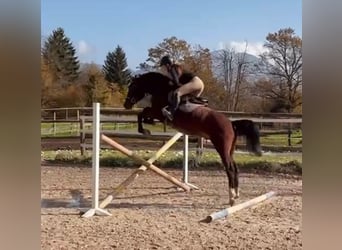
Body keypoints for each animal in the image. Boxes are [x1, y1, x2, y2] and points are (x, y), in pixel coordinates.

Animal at [123, 72, 262, 205]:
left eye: (132, 87)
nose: (126, 105)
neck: (161, 89)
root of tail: (231, 124)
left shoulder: (157, 112)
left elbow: (142, 113)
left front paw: (144, 130)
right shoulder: (156, 113)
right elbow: (143, 114)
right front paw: (148, 125)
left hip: (221, 147)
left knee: (230, 168)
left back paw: (232, 197)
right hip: (230, 149)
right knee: (235, 167)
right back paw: (237, 193)